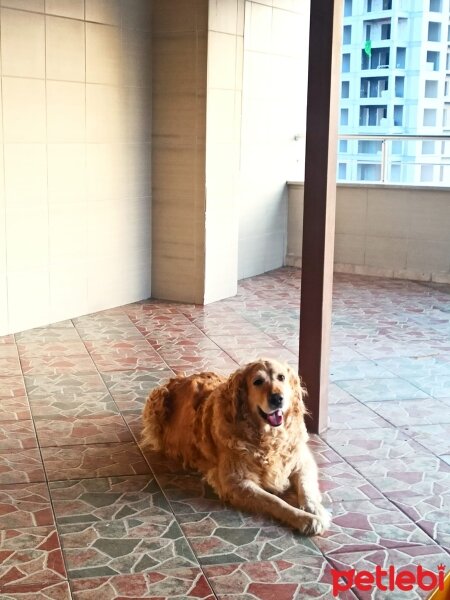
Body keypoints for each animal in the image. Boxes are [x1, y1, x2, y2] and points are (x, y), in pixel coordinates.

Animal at [142, 358, 330, 536]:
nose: (278, 398)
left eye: (281, 377)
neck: (267, 438)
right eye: (258, 381)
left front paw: (315, 509)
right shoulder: (236, 482)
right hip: (158, 404)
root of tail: (180, 378)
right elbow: (275, 501)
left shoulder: (302, 461)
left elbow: (306, 489)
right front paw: (305, 519)